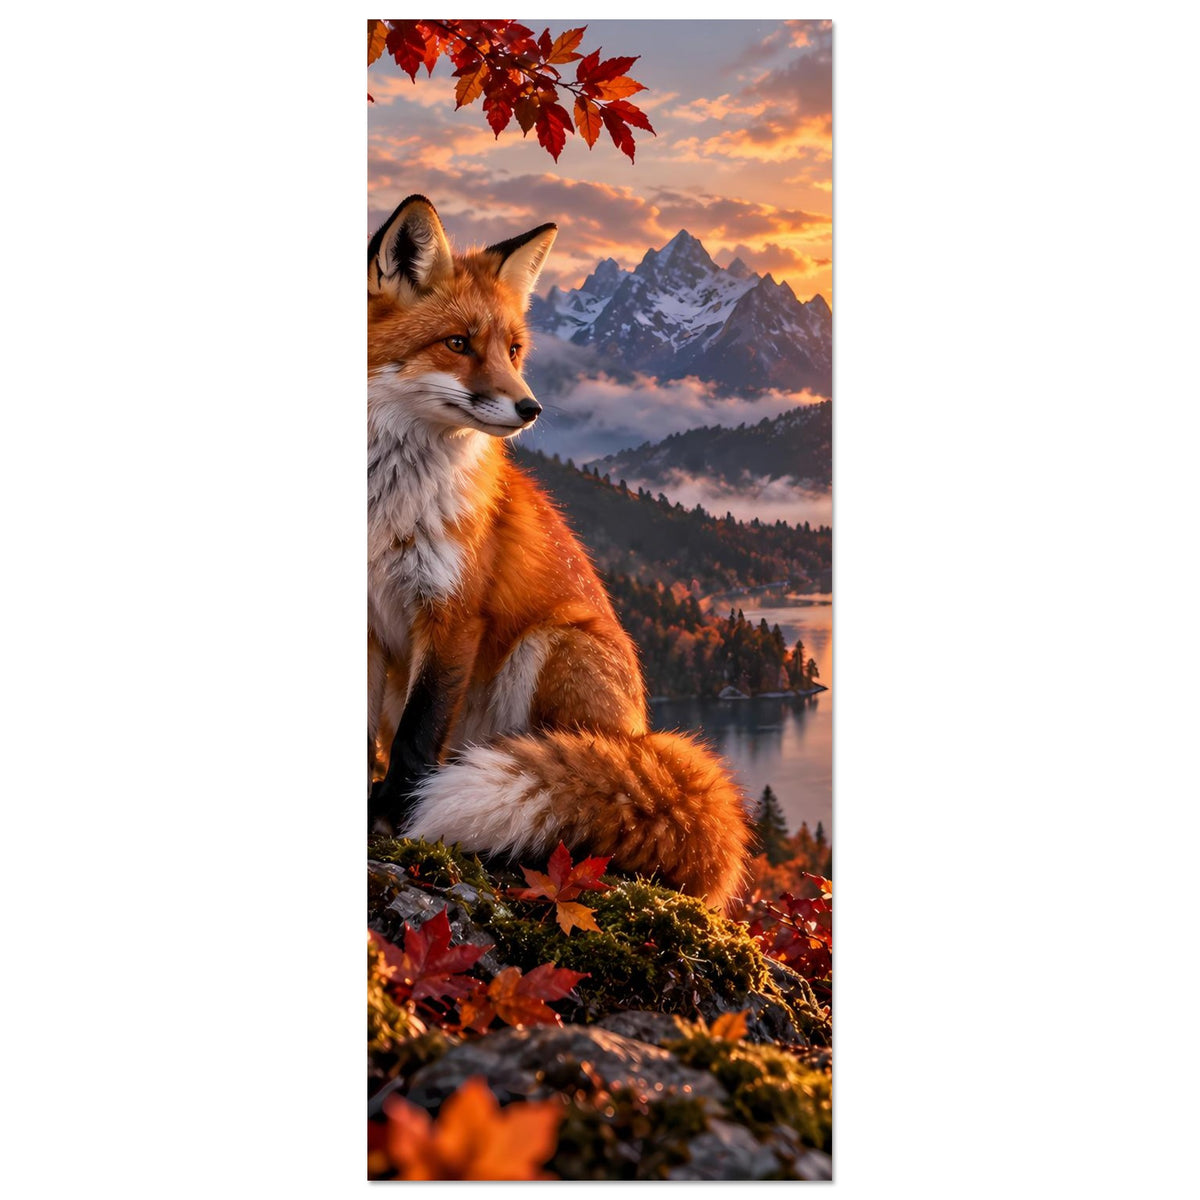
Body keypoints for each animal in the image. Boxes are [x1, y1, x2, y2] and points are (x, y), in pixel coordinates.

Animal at [367, 195, 752, 911]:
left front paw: (391, 821)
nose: (531, 408)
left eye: (514, 349)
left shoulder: (453, 612)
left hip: (549, 645)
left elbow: (415, 740)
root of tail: (641, 734)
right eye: (458, 343)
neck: (385, 506)